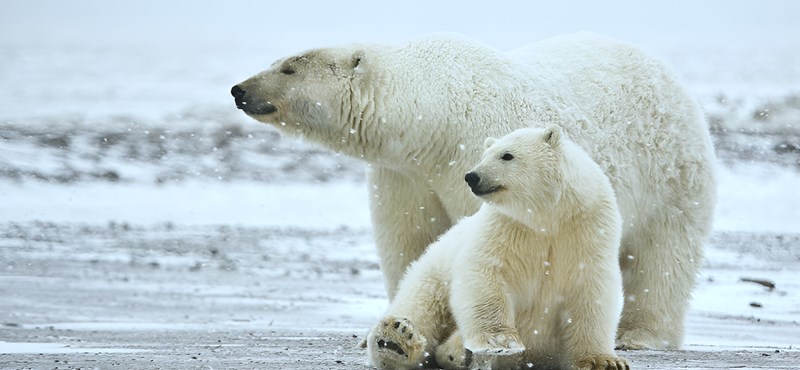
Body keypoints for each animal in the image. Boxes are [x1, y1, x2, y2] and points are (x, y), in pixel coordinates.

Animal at [230, 32, 712, 350]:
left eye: (289, 67)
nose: (239, 89)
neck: (435, 118)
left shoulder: (478, 155)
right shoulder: (405, 174)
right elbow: (411, 241)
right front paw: (397, 327)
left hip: (672, 176)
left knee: (663, 257)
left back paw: (641, 336)